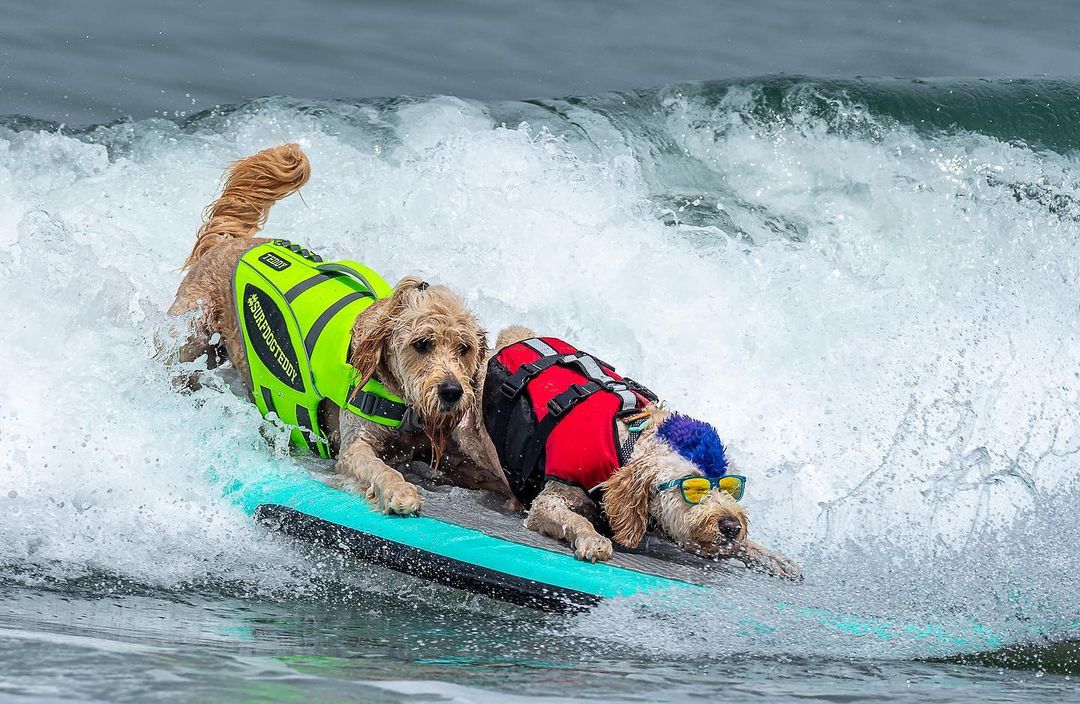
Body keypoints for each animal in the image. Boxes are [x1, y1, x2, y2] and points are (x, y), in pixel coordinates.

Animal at [169, 144, 505, 516]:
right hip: (188, 338)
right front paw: (399, 491)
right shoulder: (355, 444)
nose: (451, 392)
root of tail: (226, 242)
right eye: (422, 344)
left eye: (464, 349)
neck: (401, 401)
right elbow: (379, 468)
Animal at [455, 328, 803, 578]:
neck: (627, 440)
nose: (731, 525)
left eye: (731, 487)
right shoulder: (551, 498)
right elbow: (569, 516)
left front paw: (767, 554)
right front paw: (593, 538)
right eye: (693, 487)